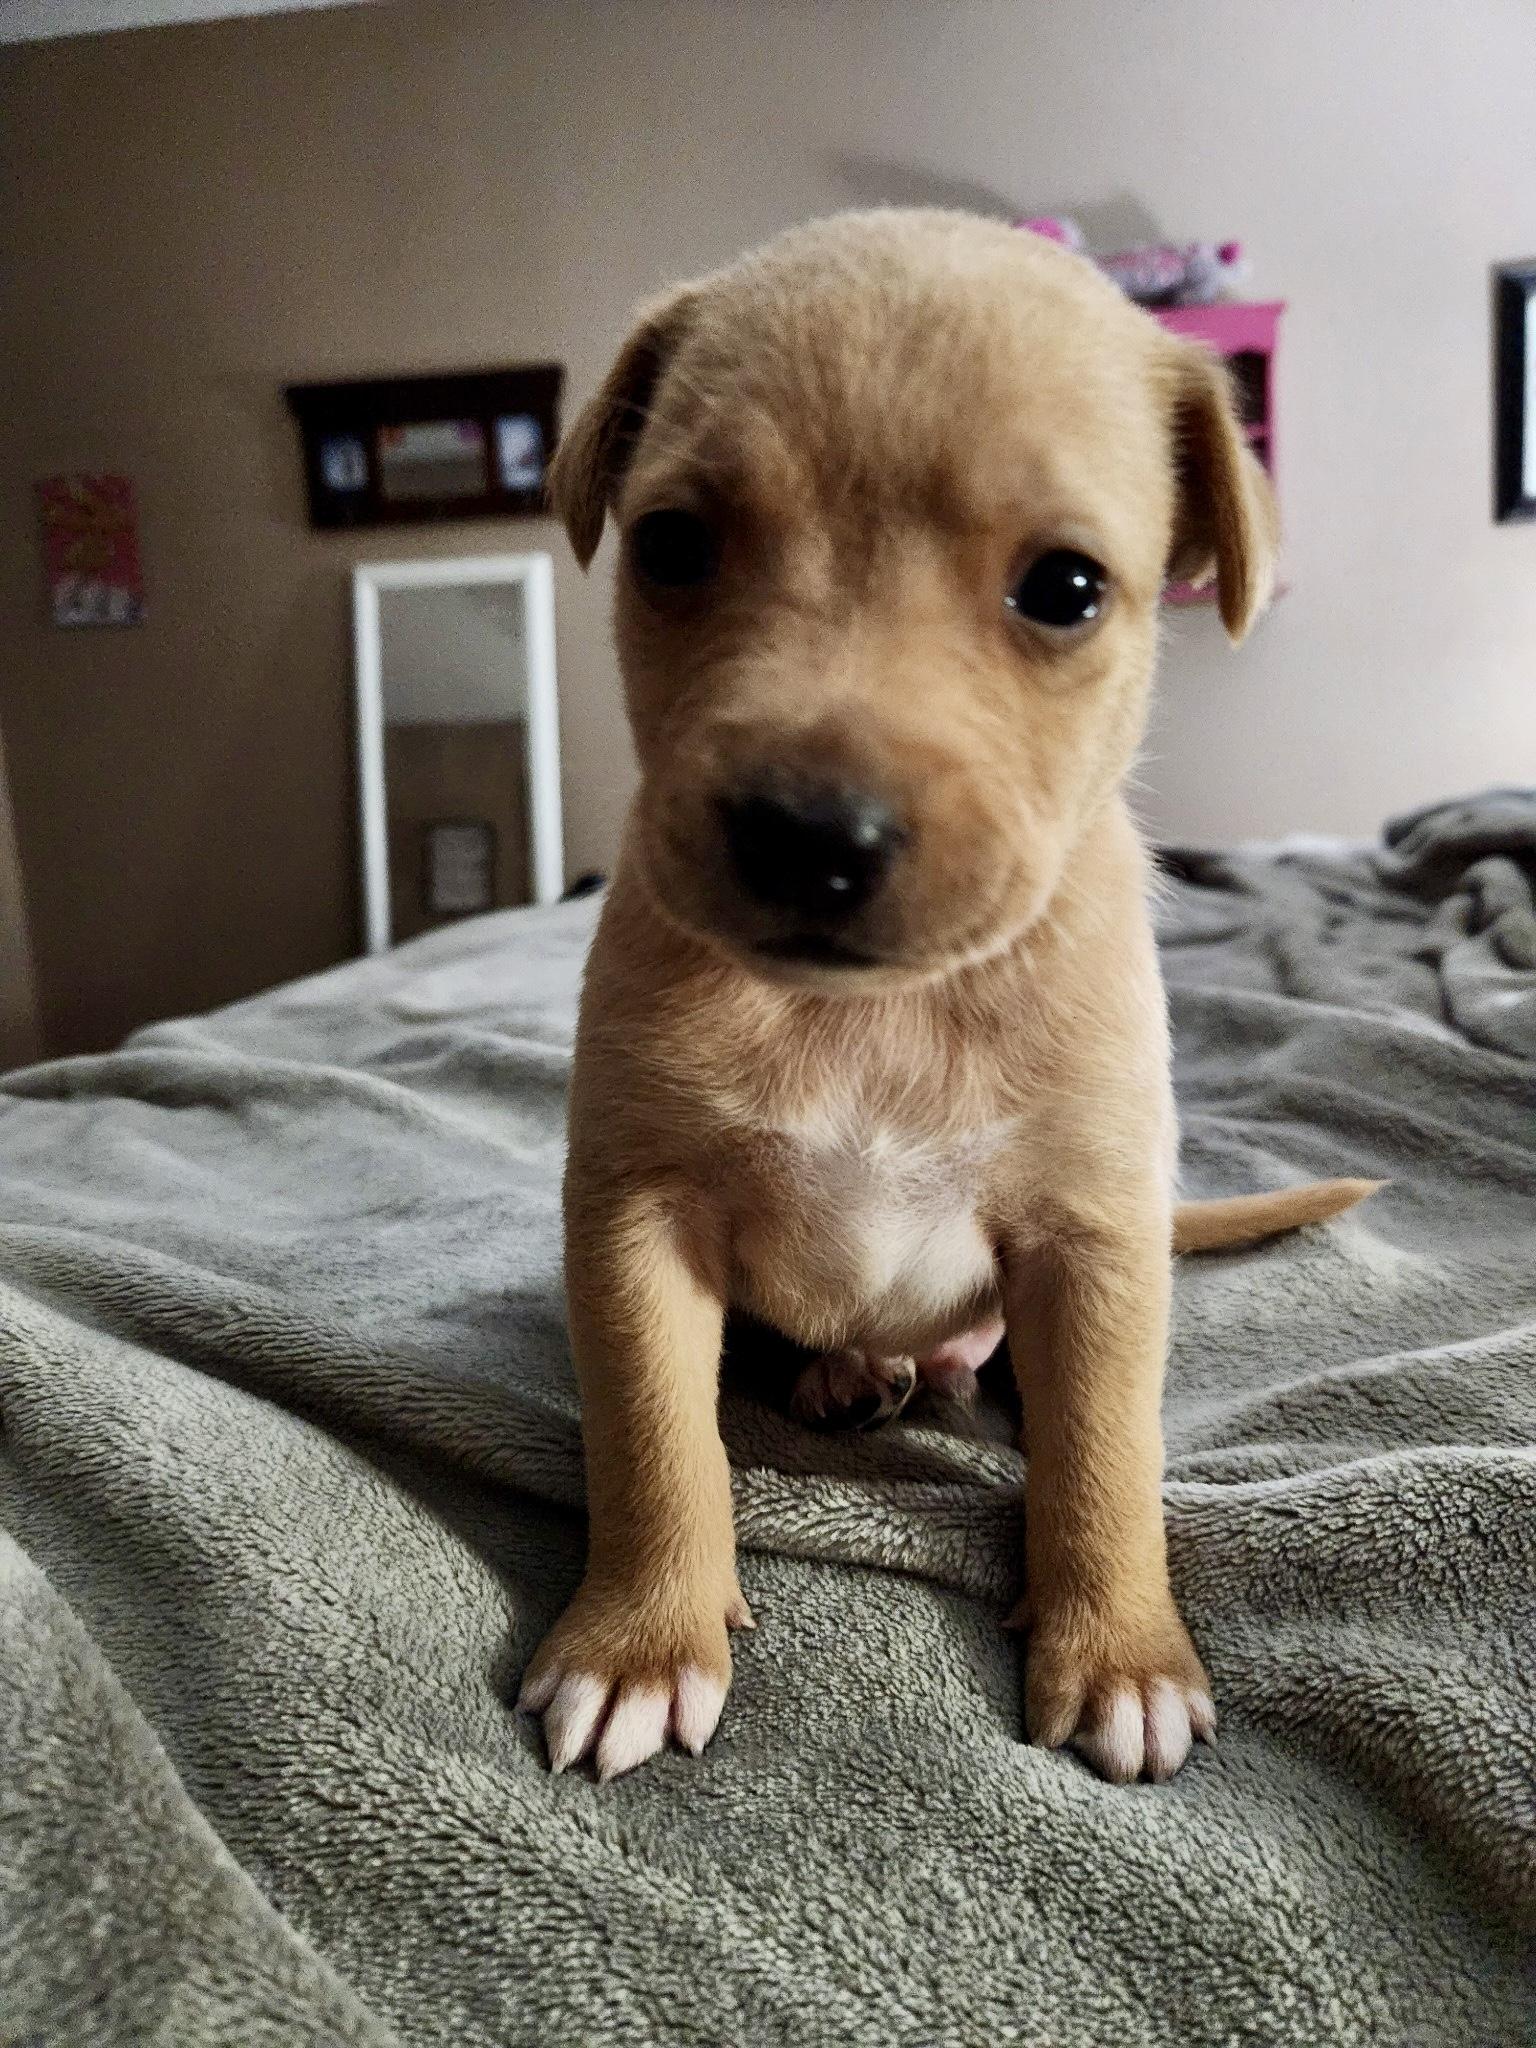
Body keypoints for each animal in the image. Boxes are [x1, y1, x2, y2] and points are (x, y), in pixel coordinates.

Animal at [518, 210, 1377, 1786]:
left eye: (1068, 588)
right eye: (672, 544)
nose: (809, 830)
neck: (878, 1012)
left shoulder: (1098, 1236)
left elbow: (1105, 1455)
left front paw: (1121, 1651)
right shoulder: (632, 1210)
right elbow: (654, 1437)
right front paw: (639, 1641)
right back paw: (840, 1374)